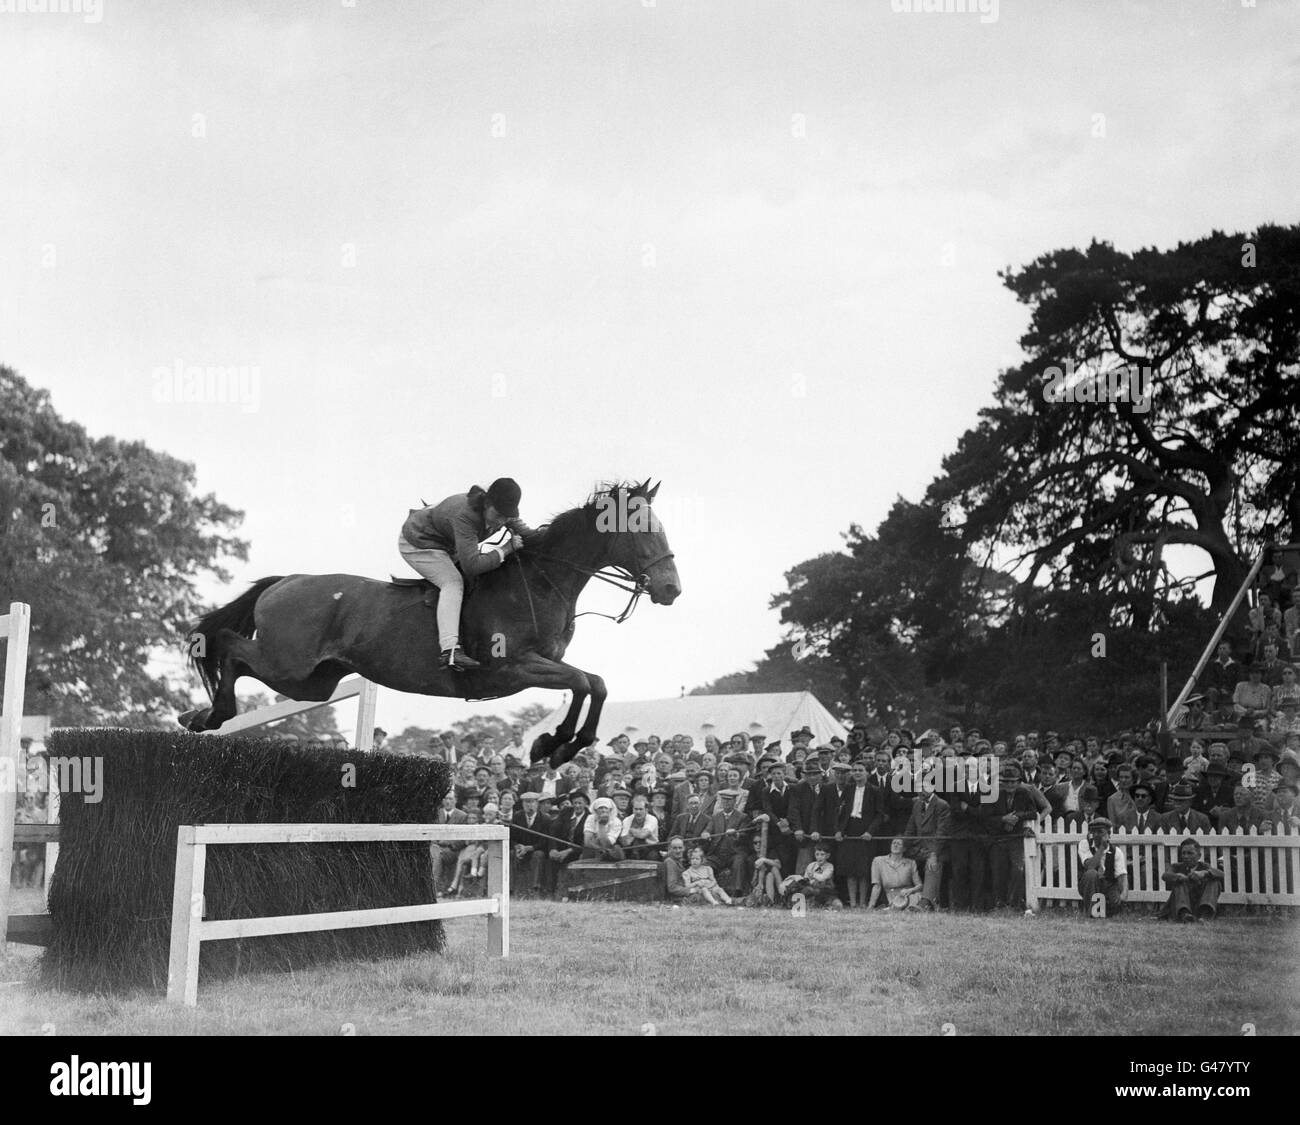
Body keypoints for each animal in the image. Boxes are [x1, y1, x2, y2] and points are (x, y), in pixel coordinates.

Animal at [180, 478, 681, 769]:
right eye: (640, 528)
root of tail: (285, 581)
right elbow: (582, 682)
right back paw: (212, 714)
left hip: (313, 682)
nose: (671, 589)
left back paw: (198, 715)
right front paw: (553, 743)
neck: (541, 582)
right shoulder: (512, 668)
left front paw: (558, 745)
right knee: (229, 645)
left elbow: (594, 683)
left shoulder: (537, 666)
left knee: (240, 657)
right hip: (290, 663)